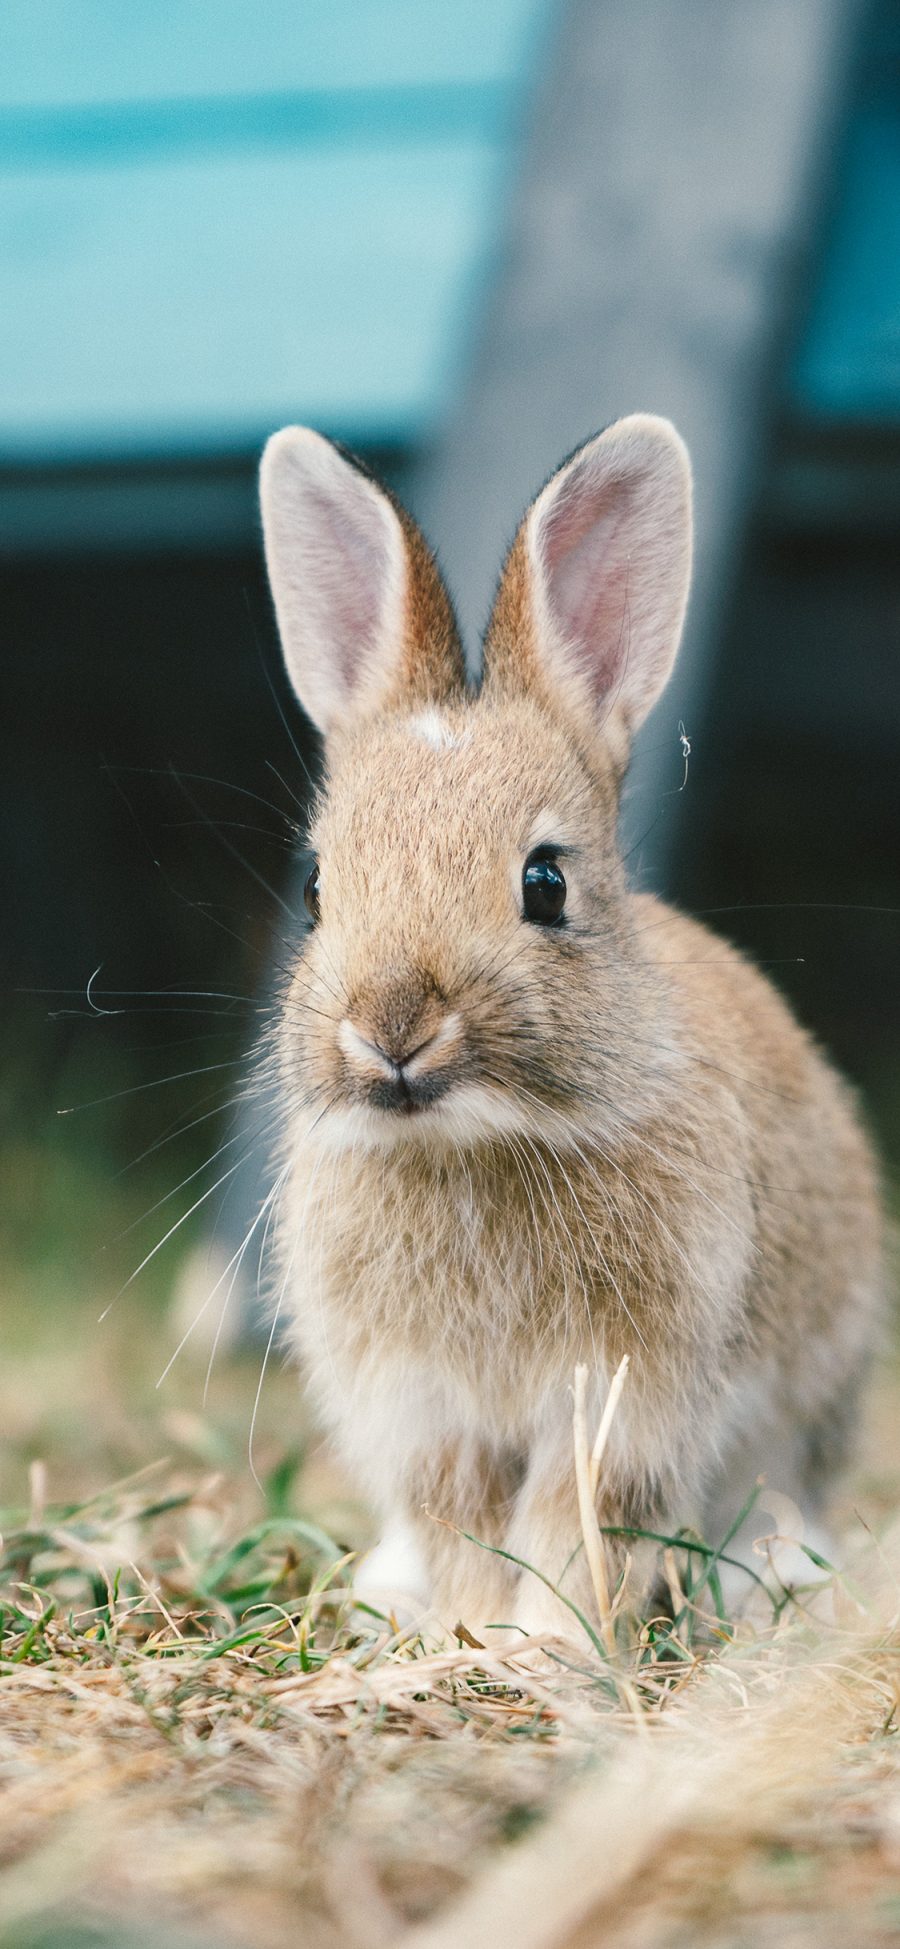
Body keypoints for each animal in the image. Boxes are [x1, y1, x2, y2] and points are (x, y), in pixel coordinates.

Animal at [257, 419, 880, 1637]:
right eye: (314, 889)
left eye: (544, 882)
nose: (393, 1027)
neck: (469, 1144)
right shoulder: (423, 1408)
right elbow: (459, 1518)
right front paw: (464, 1631)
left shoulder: (627, 1391)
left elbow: (578, 1518)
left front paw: (543, 1644)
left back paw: (774, 1574)